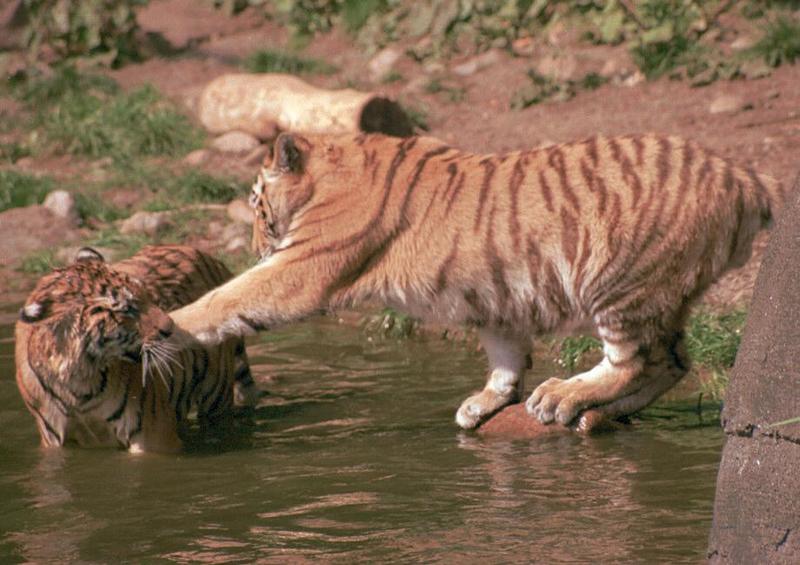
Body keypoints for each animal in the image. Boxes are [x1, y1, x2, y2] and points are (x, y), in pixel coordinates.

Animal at [14, 245, 260, 452]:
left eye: (146, 295)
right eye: (127, 309)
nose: (171, 327)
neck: (79, 382)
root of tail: (206, 254)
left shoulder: (152, 432)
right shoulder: (54, 440)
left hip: (216, 394)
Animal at [148, 132, 780, 430]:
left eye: (257, 205)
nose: (256, 245)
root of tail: (741, 174)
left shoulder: (301, 268)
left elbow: (228, 299)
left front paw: (163, 324)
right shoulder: (496, 295)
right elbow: (505, 354)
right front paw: (485, 401)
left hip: (620, 282)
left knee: (634, 361)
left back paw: (563, 396)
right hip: (655, 293)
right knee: (672, 363)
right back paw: (594, 410)